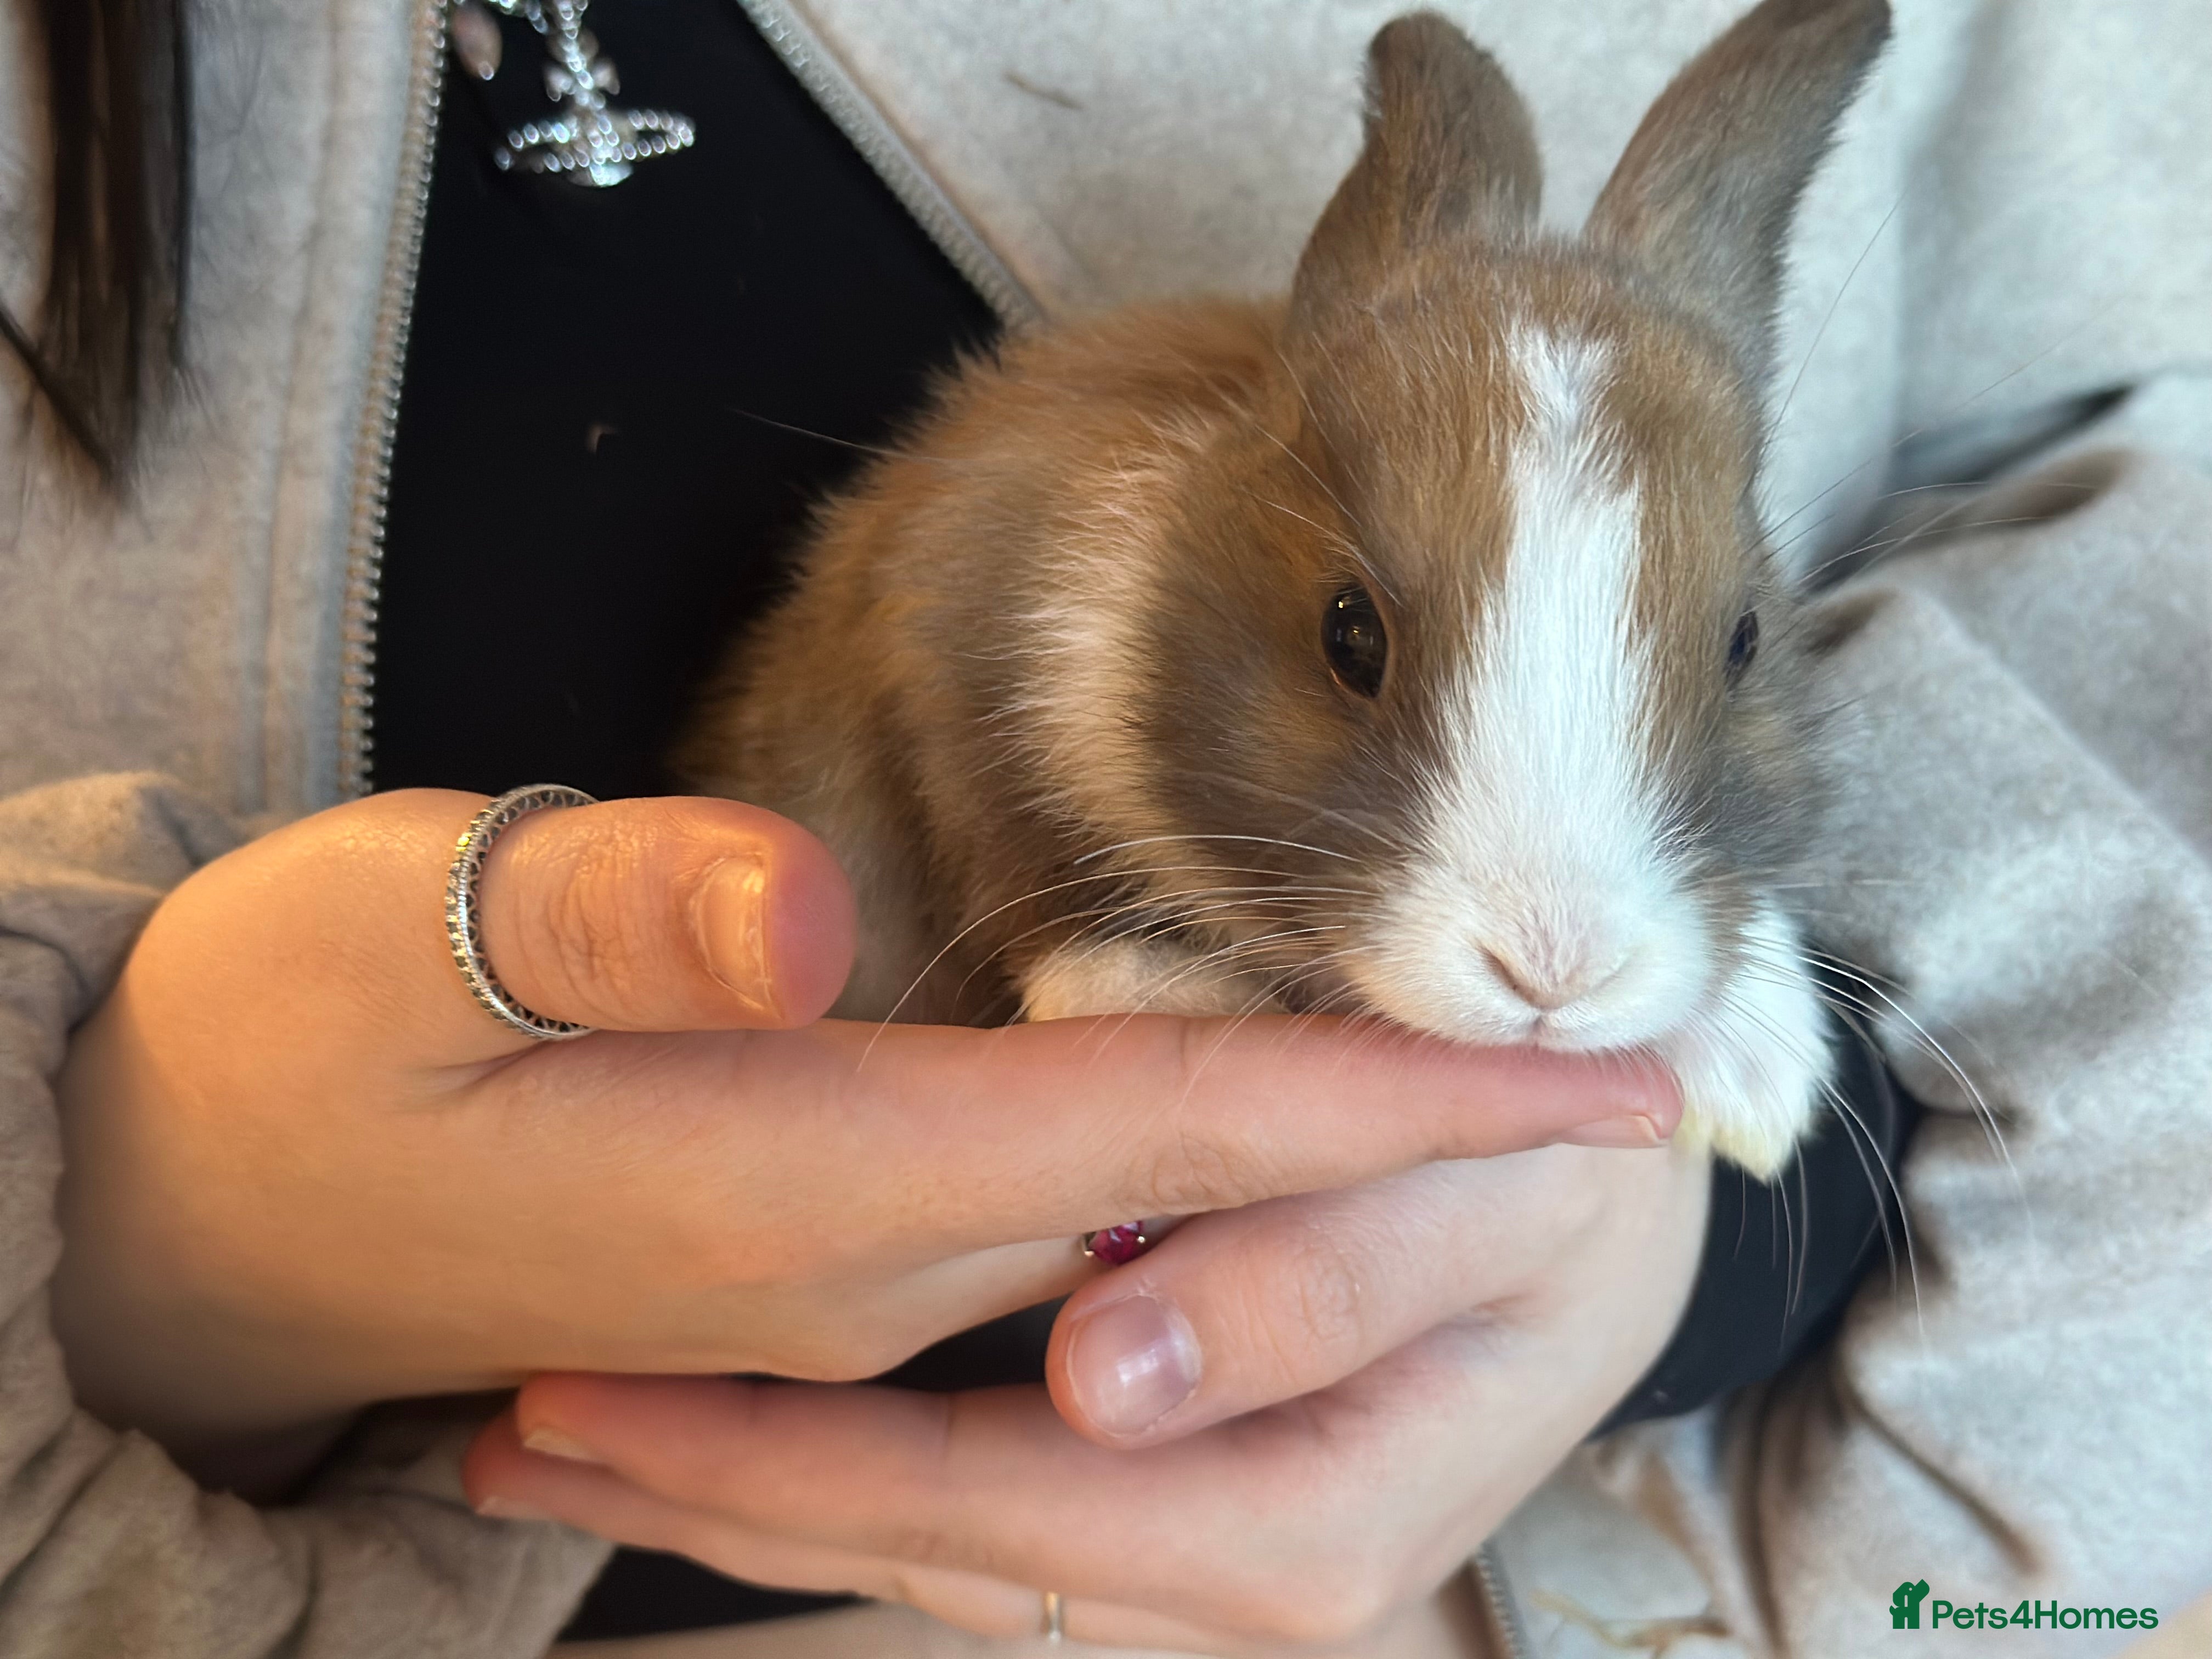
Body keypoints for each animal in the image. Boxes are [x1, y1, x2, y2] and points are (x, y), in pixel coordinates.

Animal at [679, 0, 1892, 1177]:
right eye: (1347, 633)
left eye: (1744, 641)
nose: (1555, 971)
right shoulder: (945, 648)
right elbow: (1010, 850)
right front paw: (1156, 983)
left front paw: (1759, 1074)